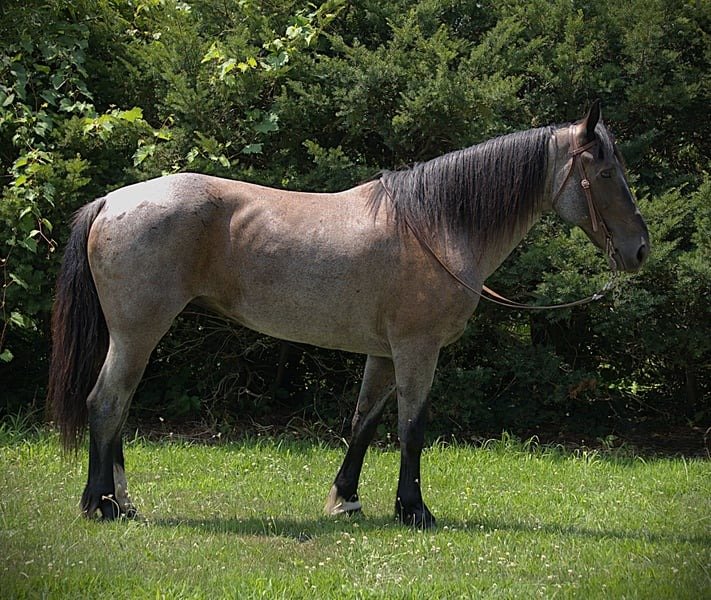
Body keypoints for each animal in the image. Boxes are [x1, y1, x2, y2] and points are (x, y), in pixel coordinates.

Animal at [47, 101, 649, 528]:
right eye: (607, 174)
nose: (640, 250)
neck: (435, 226)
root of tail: (112, 201)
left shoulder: (383, 352)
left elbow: (365, 422)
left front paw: (346, 499)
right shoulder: (416, 349)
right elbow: (412, 426)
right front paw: (414, 510)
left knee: (119, 406)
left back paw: (120, 501)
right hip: (137, 333)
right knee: (106, 402)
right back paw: (100, 504)